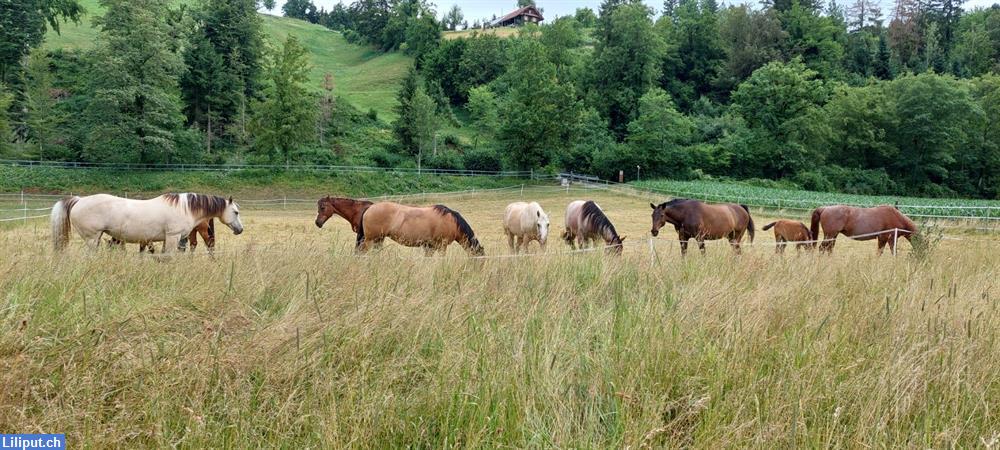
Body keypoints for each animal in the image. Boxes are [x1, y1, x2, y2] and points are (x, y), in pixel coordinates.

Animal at [51, 192, 244, 253]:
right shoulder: (173, 237)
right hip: (92, 238)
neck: (184, 207)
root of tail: (78, 200)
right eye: (236, 212)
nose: (240, 229)